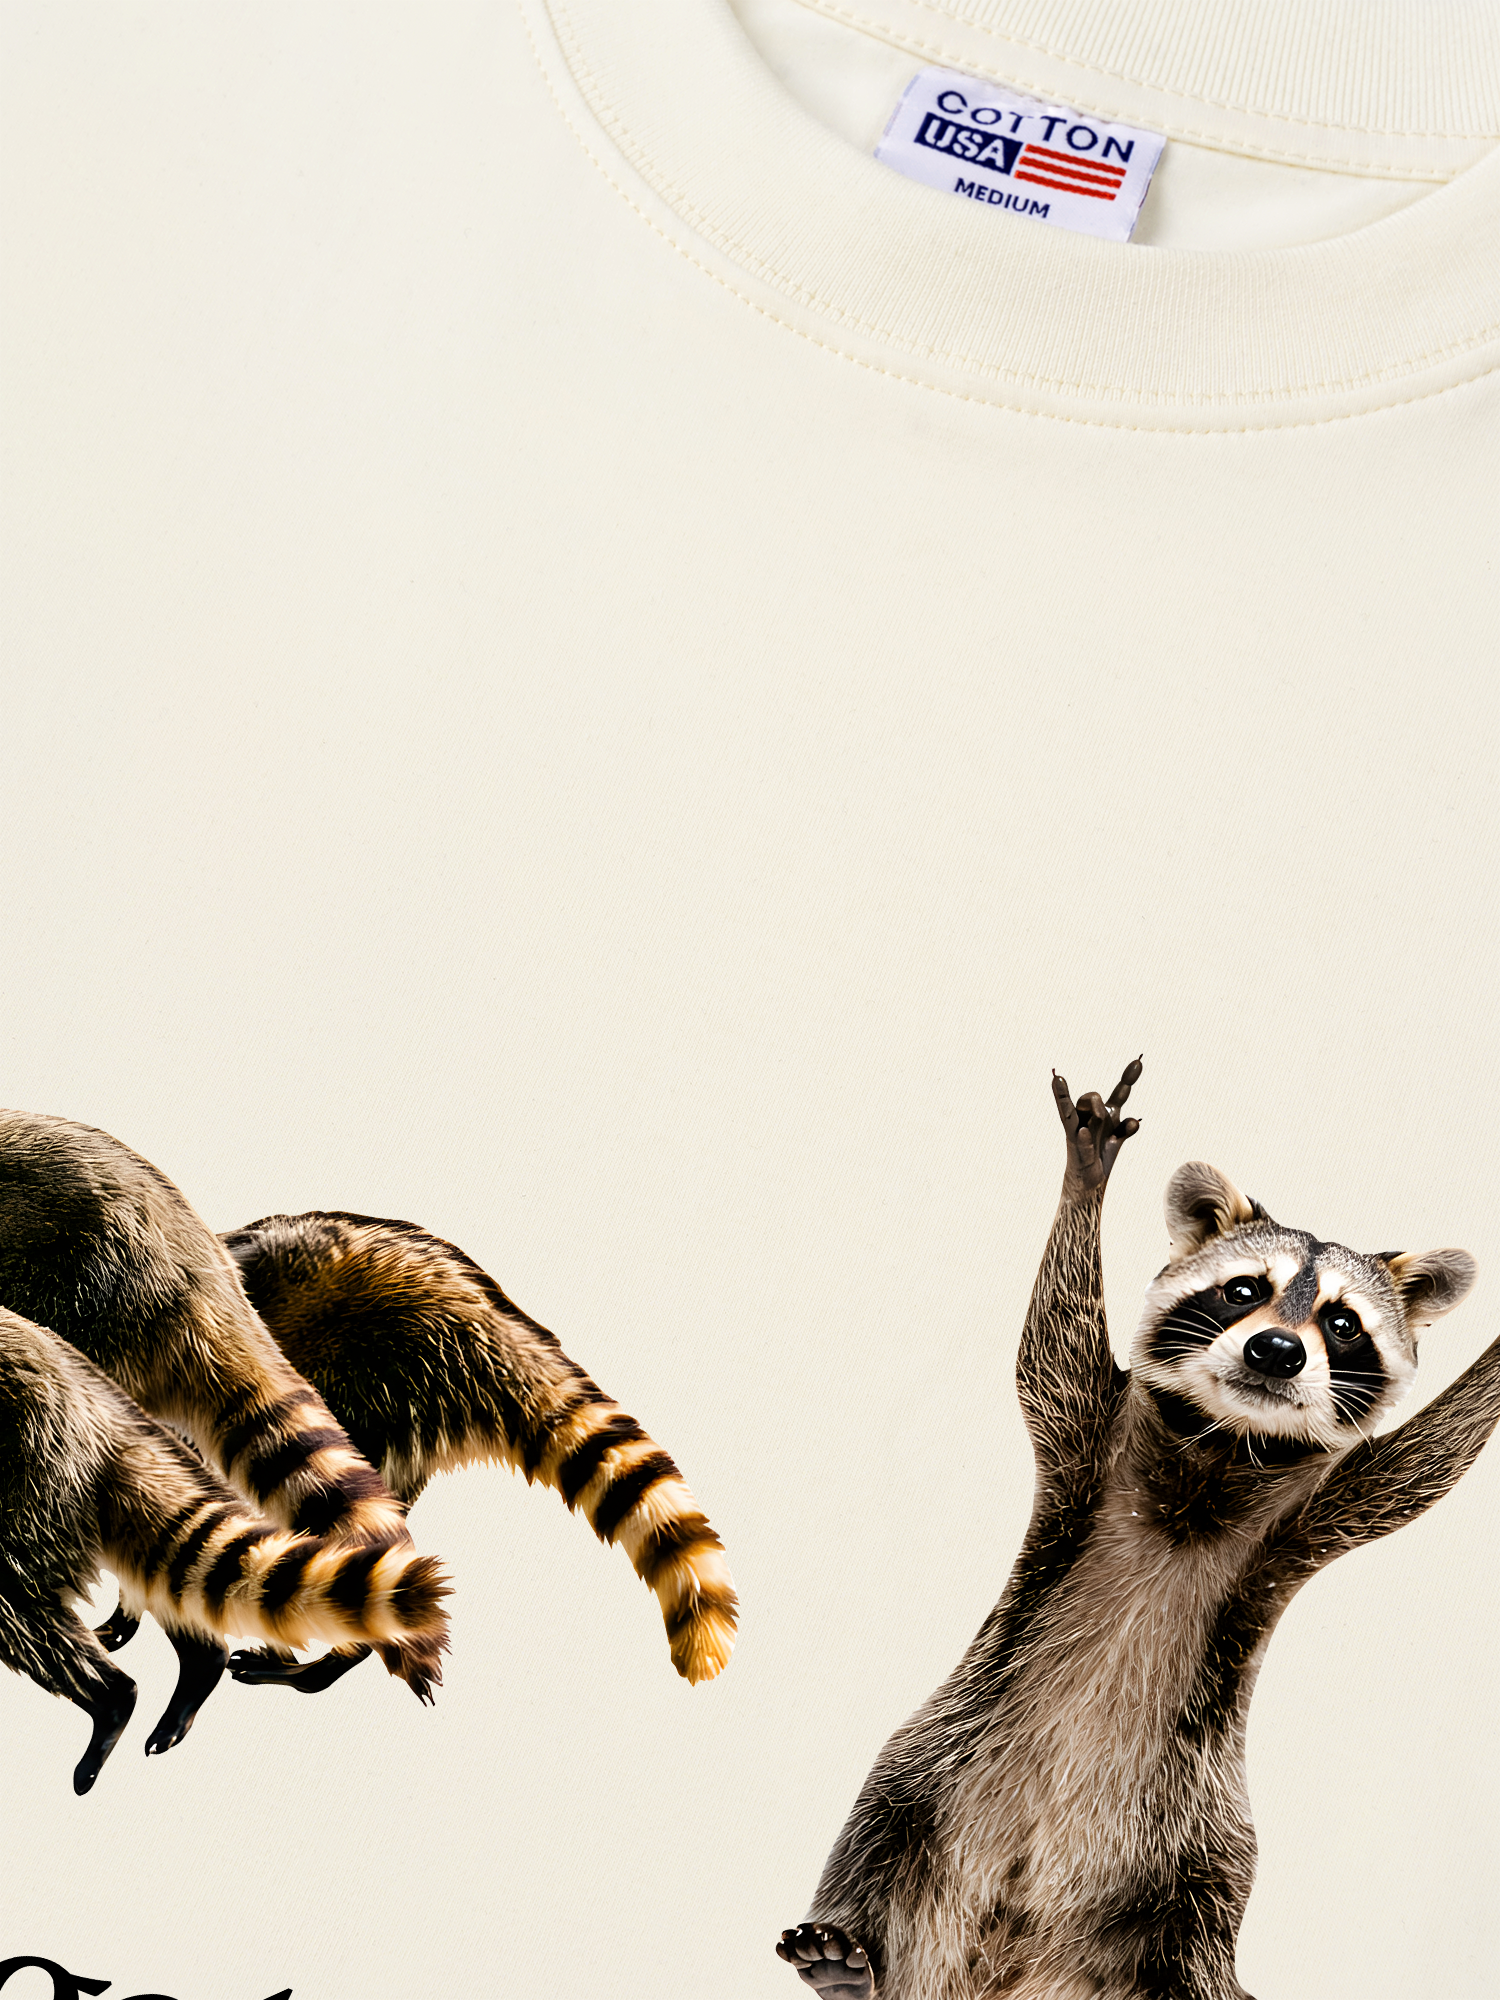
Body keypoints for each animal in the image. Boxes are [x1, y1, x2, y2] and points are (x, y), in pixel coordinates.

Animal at [777, 1061, 1492, 2000]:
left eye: (1342, 1323)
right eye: (1243, 1290)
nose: (1275, 1352)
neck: (1220, 1452)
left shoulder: (1313, 1514)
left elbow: (1424, 1465)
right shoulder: (1090, 1441)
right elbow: (1051, 1347)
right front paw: (1087, 1176)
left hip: (1199, 1863)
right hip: (939, 1760)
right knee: (880, 1820)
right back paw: (847, 1957)